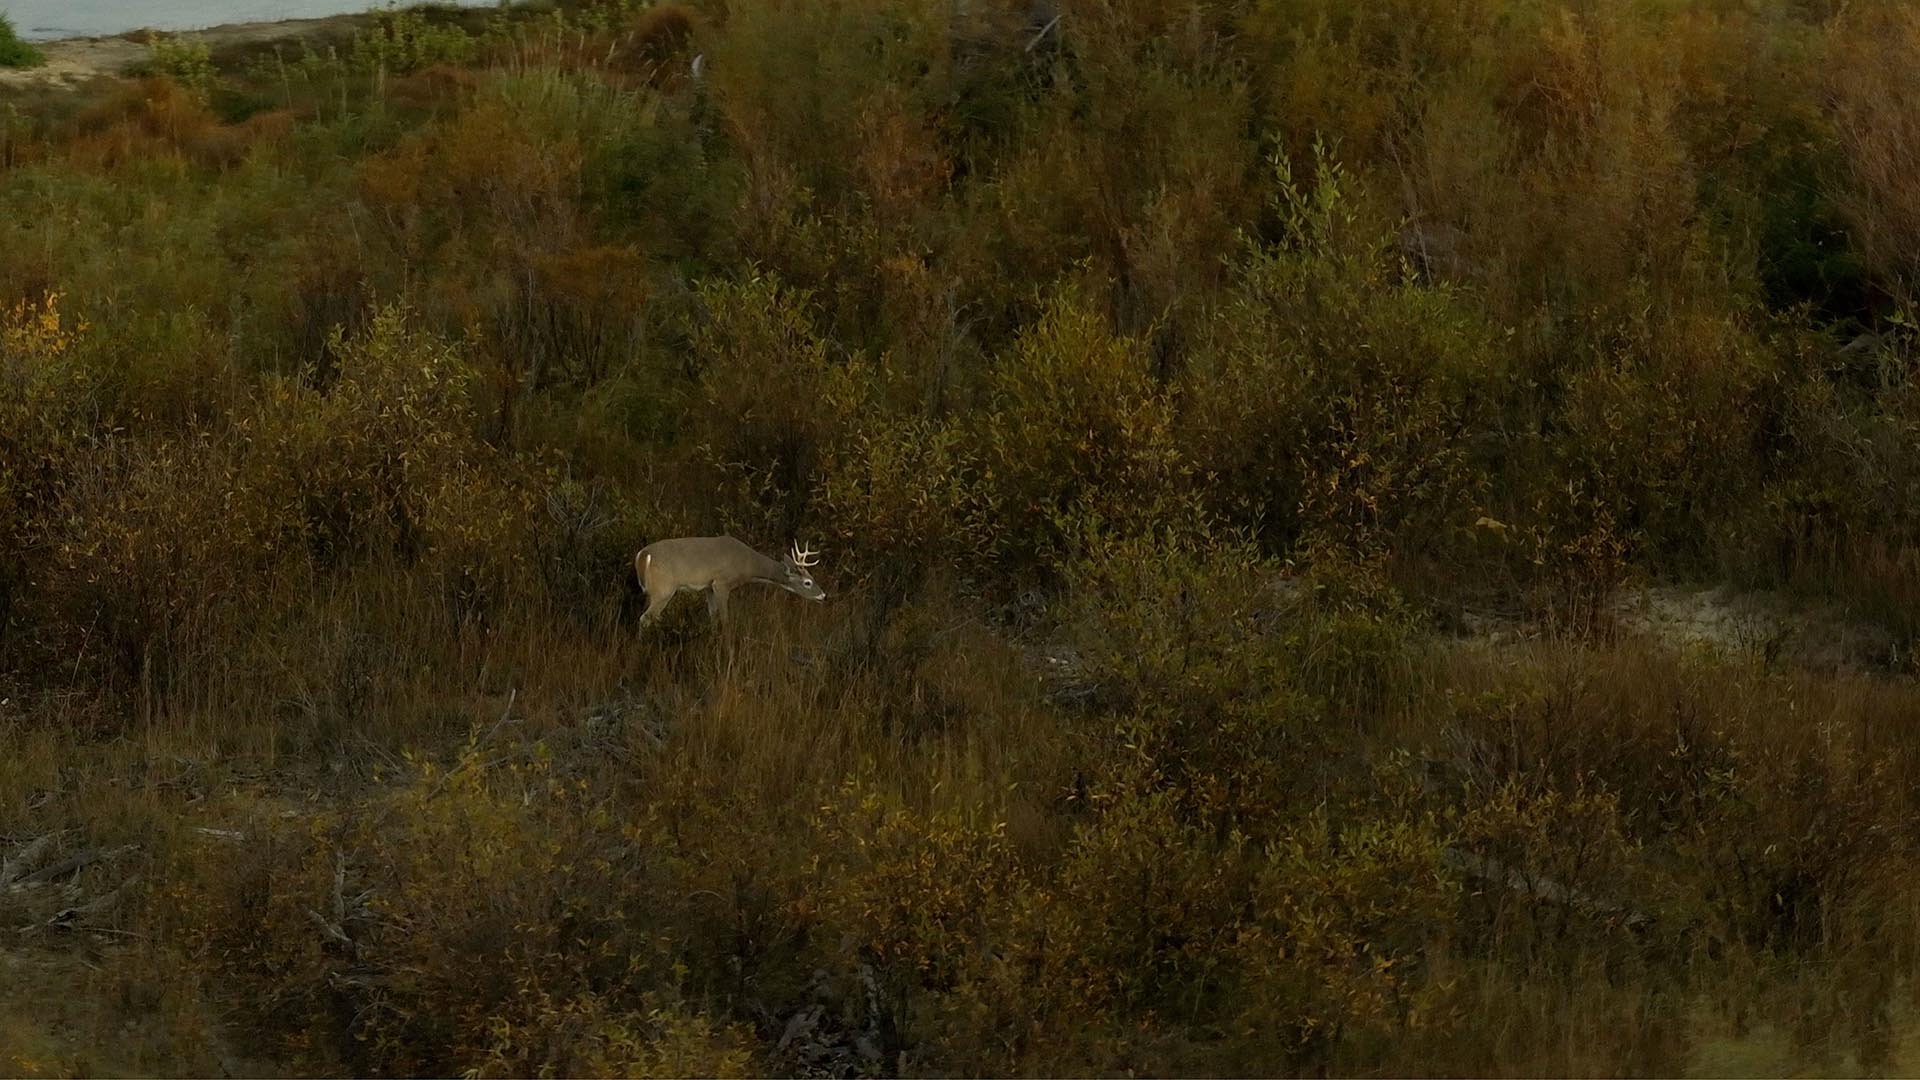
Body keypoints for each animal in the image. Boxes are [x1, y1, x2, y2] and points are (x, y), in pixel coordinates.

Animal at [633, 537, 826, 630]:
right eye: (808, 582)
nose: (823, 595)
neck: (747, 565)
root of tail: (643, 556)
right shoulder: (721, 583)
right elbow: (725, 619)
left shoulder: (708, 586)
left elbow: (712, 615)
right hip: (664, 590)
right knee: (644, 618)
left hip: (652, 592)